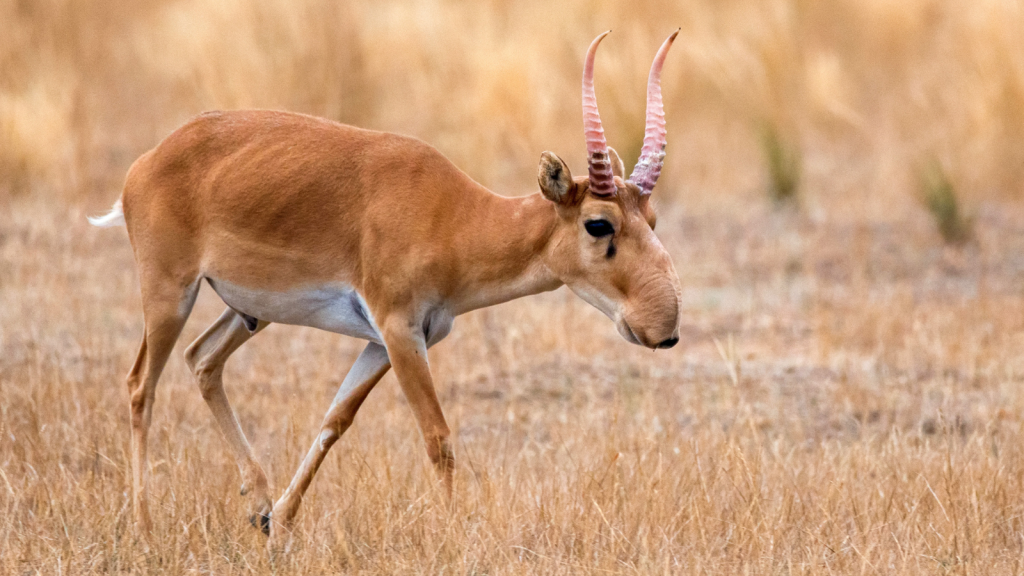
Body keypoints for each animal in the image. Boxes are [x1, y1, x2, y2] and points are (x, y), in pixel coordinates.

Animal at [90, 30, 679, 541]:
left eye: (650, 218)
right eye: (599, 223)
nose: (664, 329)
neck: (454, 215)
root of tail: (148, 162)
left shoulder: (382, 341)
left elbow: (335, 420)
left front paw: (281, 521)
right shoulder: (399, 332)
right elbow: (438, 438)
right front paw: (454, 538)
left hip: (247, 312)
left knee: (202, 360)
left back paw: (256, 503)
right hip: (170, 294)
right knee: (140, 384)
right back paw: (144, 526)